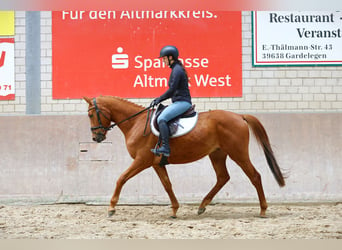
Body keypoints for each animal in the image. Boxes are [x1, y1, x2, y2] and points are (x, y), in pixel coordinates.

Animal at [84, 94, 284, 218]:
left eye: (91, 114)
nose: (96, 137)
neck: (136, 123)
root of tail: (239, 116)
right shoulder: (156, 164)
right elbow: (167, 185)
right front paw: (174, 210)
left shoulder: (142, 160)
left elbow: (121, 178)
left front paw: (111, 208)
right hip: (217, 154)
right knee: (223, 177)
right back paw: (202, 206)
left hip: (238, 153)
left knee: (255, 176)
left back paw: (263, 210)